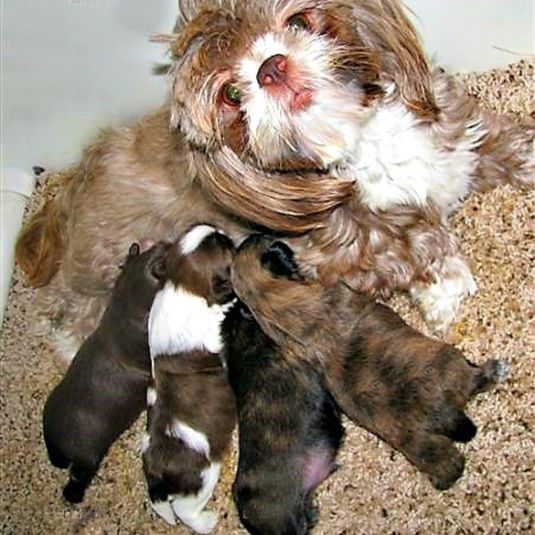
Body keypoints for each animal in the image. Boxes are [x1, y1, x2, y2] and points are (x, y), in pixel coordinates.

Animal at [43, 241, 170, 504]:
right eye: (168, 251)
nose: (165, 242)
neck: (126, 303)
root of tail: (59, 442)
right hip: (88, 458)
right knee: (77, 477)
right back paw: (73, 496)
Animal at [140, 224, 237, 532]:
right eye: (224, 245)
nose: (224, 230)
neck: (182, 287)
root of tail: (156, 472)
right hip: (204, 477)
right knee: (186, 510)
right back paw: (207, 522)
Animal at [232, 237, 508, 492]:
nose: (252, 236)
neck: (275, 305)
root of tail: (445, 415)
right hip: (452, 362)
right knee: (476, 381)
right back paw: (495, 369)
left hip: (420, 445)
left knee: (448, 464)